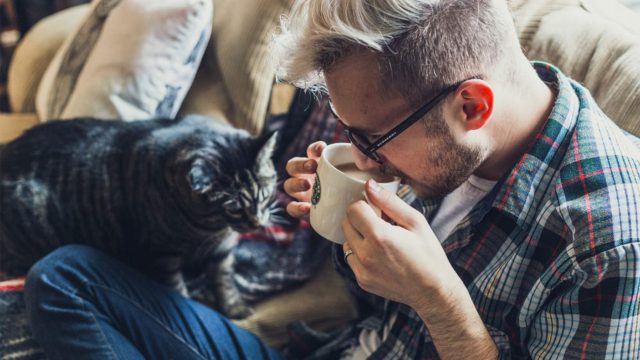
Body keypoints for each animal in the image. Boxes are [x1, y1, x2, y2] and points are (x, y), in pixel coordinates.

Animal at [1, 115, 278, 318]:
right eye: (233, 208)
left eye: (264, 195)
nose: (257, 222)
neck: (210, 229)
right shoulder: (162, 254)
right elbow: (177, 289)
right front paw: (189, 307)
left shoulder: (223, 251)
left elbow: (225, 280)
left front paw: (234, 307)